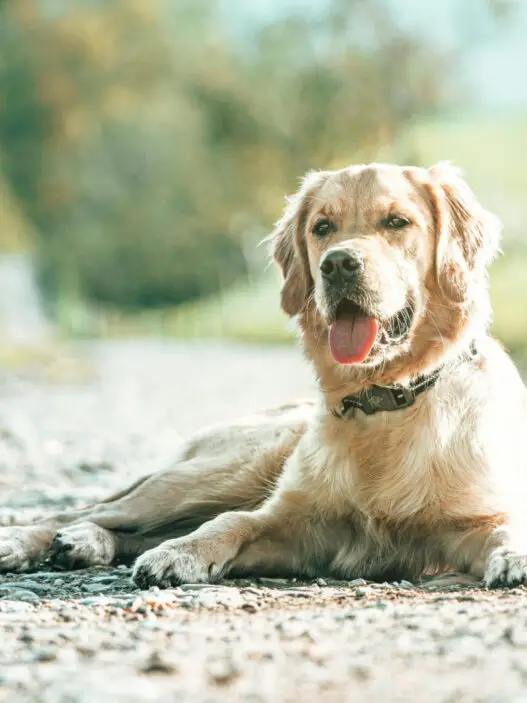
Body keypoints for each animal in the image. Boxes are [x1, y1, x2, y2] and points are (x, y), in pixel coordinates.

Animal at [1, 164, 527, 588]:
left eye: (397, 222)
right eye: (322, 227)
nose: (338, 263)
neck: (384, 398)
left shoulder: (469, 523)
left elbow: (505, 526)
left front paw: (515, 556)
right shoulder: (296, 523)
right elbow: (232, 523)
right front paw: (182, 554)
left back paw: (86, 543)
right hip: (223, 472)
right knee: (90, 510)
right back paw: (34, 540)